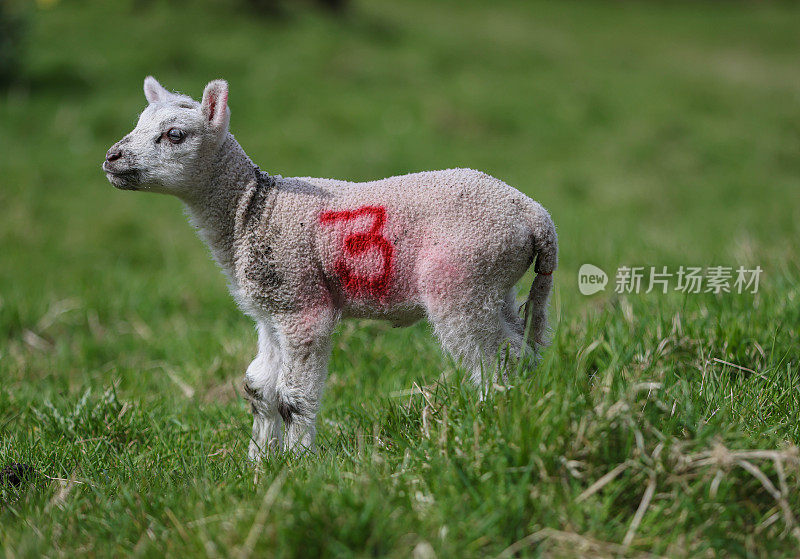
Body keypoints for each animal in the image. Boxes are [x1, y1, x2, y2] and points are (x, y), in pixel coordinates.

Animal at [103, 76, 560, 458]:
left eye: (175, 135)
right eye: (139, 122)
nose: (111, 158)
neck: (252, 208)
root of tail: (536, 217)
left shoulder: (302, 305)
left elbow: (294, 396)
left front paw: (297, 464)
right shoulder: (270, 308)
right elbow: (259, 388)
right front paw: (256, 464)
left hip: (462, 279)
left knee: (496, 358)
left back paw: (491, 426)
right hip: (496, 282)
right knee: (520, 348)